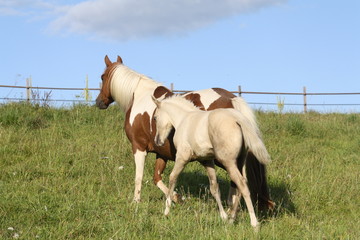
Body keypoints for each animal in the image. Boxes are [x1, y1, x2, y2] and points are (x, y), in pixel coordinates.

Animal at [94, 55, 274, 209]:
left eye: (103, 77)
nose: (99, 102)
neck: (140, 96)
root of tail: (231, 98)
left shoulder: (139, 147)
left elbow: (139, 177)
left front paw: (136, 201)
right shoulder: (162, 153)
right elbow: (157, 178)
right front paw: (176, 197)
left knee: (238, 178)